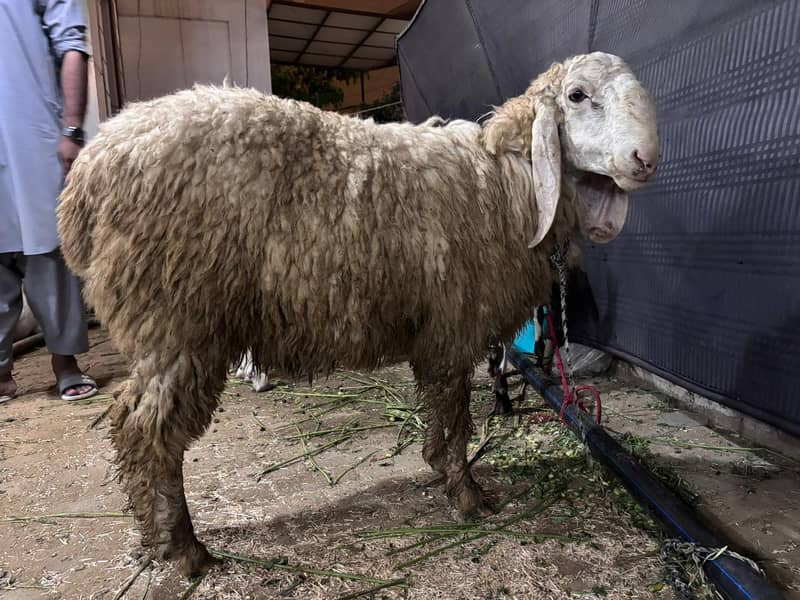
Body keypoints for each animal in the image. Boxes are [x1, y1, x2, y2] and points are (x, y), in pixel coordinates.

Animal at [56, 51, 659, 577]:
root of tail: (84, 180)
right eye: (578, 96)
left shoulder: (439, 334)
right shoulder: (453, 326)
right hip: (178, 320)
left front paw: (437, 465)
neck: (508, 180)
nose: (645, 161)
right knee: (146, 432)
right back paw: (184, 548)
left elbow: (442, 411)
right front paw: (466, 494)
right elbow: (457, 417)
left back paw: (159, 539)